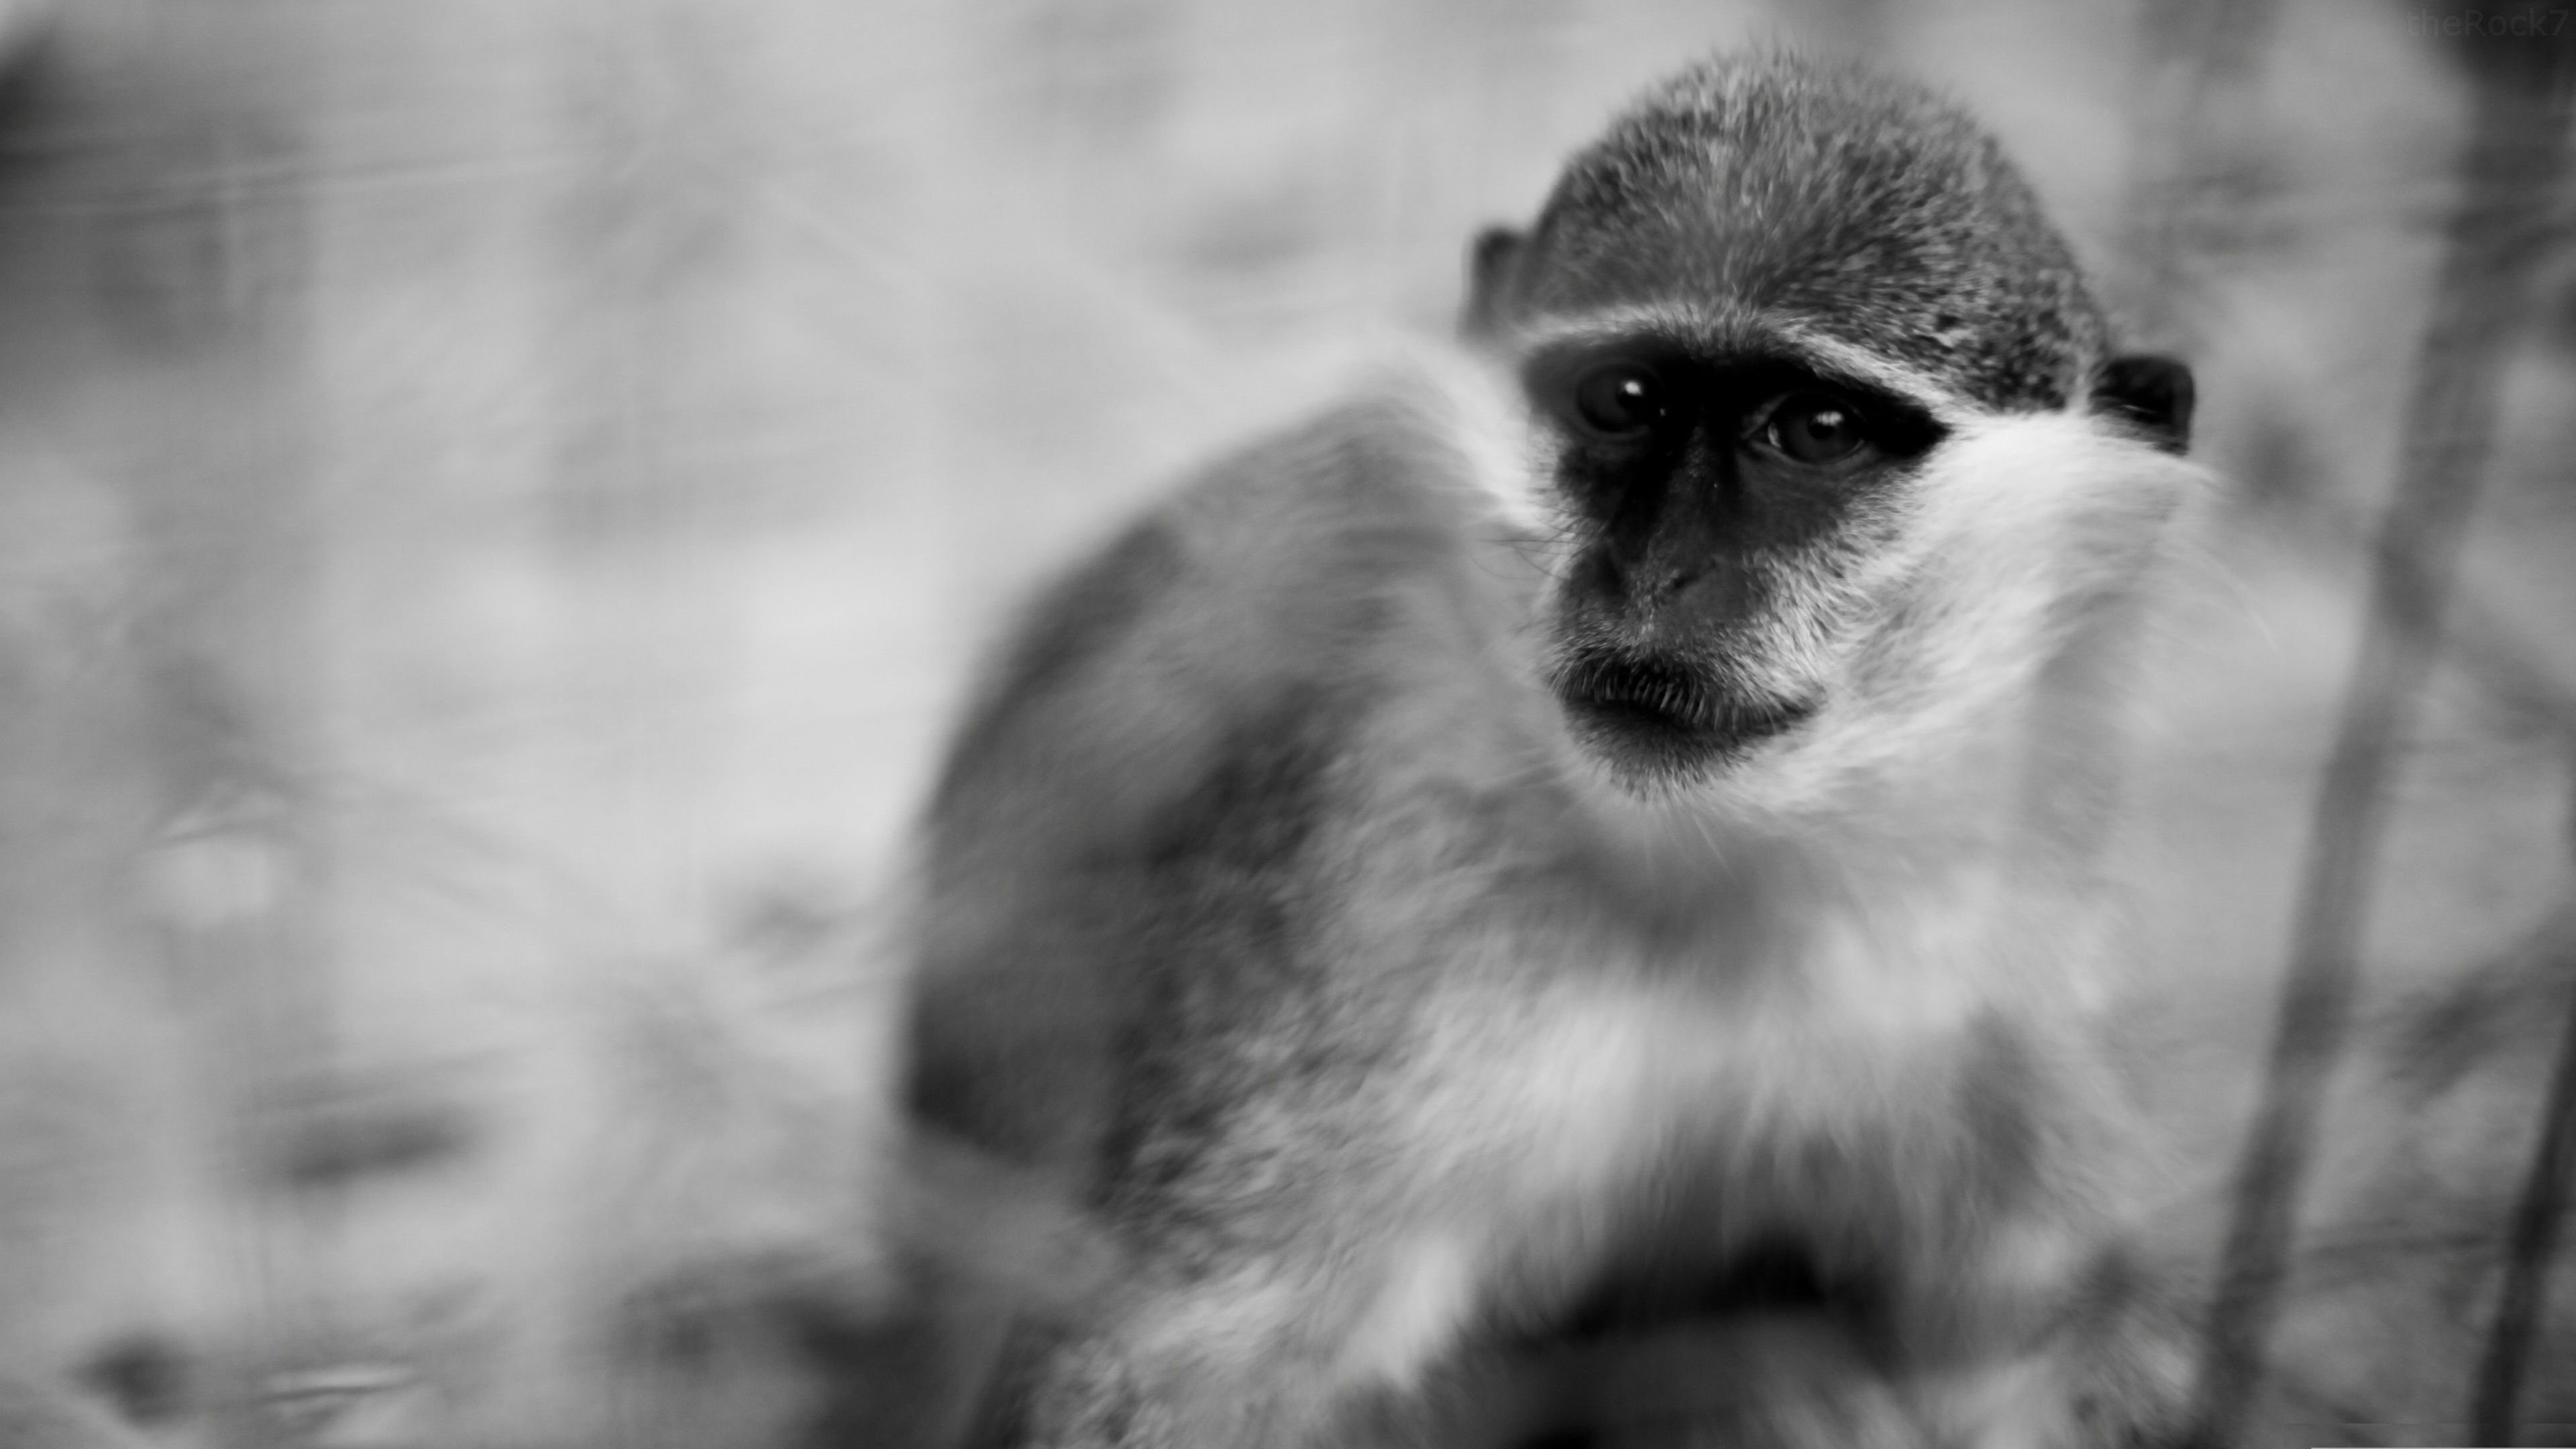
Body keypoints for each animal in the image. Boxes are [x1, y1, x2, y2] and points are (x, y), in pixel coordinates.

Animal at [896, 50, 2205, 1433]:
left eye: (1818, 429)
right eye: (1623, 399)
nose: (1660, 573)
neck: (1699, 880)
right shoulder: (1373, 867)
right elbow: (1160, 1375)